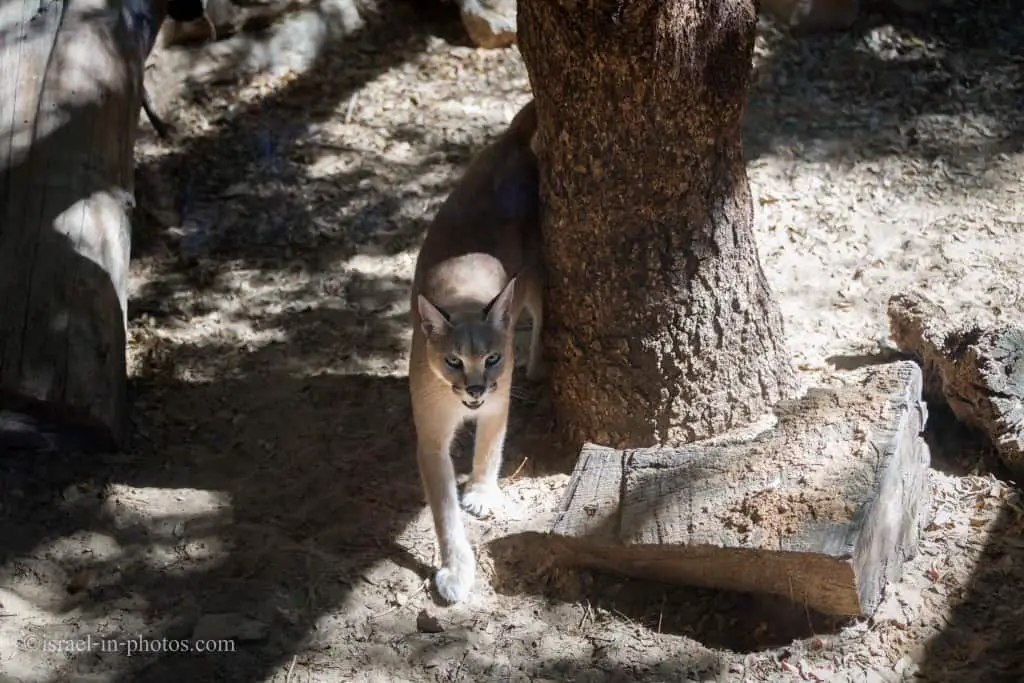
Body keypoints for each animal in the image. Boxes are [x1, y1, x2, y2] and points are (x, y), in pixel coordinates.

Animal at [411, 100, 548, 602]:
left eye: (492, 358)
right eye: (452, 360)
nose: (474, 389)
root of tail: (509, 142)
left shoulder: (497, 402)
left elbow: (491, 446)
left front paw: (483, 493)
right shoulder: (431, 436)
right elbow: (444, 513)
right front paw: (456, 569)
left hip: (535, 276)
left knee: (538, 310)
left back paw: (537, 363)